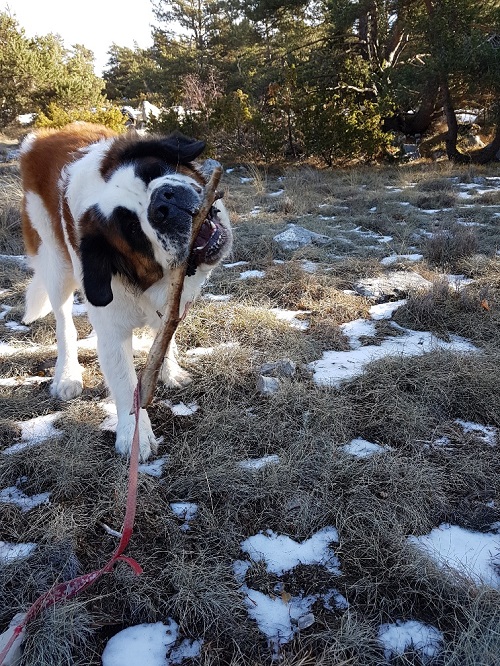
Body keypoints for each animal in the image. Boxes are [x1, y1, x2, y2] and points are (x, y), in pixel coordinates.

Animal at [18, 122, 231, 460]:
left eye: (153, 171)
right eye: (131, 228)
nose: (163, 203)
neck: (151, 282)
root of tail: (47, 133)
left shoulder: (172, 303)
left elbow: (163, 336)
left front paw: (169, 370)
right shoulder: (110, 330)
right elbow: (124, 382)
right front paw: (135, 435)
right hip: (54, 261)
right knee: (64, 322)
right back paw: (67, 375)